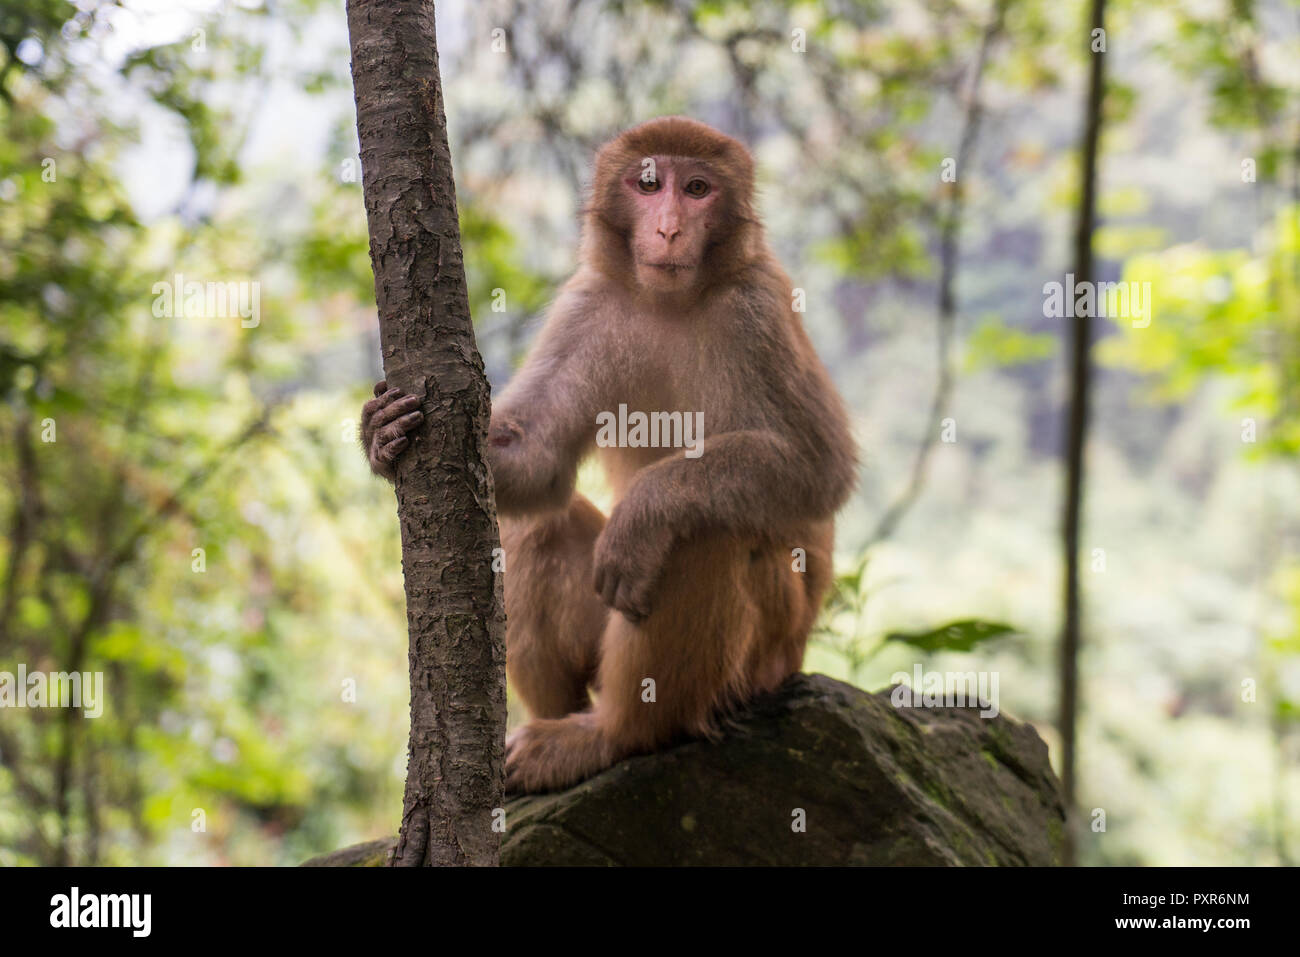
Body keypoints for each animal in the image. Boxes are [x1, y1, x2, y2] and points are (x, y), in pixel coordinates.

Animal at [360, 116, 856, 794]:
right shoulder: (587, 305)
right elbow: (538, 461)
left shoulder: (756, 308)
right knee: (535, 528)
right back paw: (549, 730)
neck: (670, 300)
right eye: (648, 185)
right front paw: (382, 436)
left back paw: (616, 735)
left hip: (763, 657)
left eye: (697, 189)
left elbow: (819, 468)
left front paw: (645, 510)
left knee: (702, 531)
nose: (669, 227)